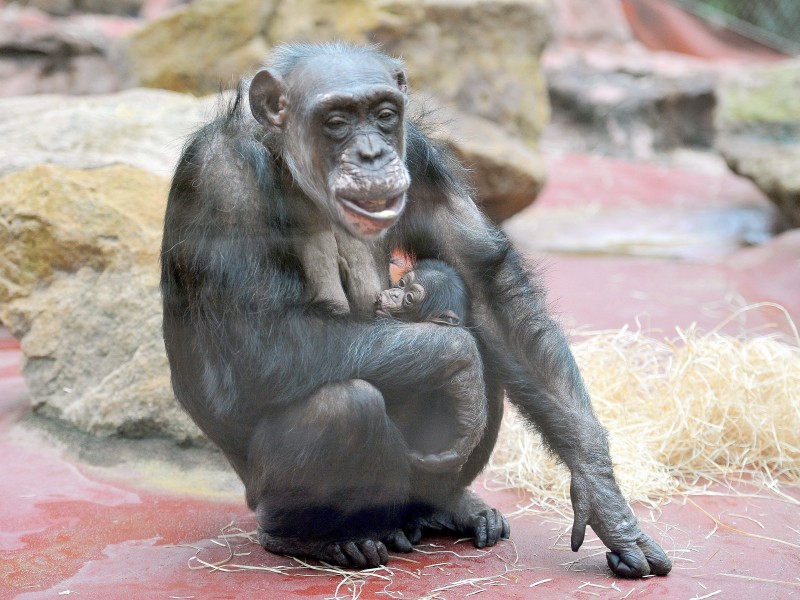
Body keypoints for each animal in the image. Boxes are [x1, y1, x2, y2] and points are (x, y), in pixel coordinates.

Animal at [159, 41, 672, 576]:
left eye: (385, 116)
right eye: (336, 121)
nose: (372, 153)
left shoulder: (422, 159)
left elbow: (487, 287)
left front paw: (606, 500)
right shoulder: (222, 181)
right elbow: (261, 342)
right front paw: (459, 361)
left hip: (415, 487)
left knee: (486, 351)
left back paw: (446, 508)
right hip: (274, 493)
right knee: (344, 406)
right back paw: (320, 539)